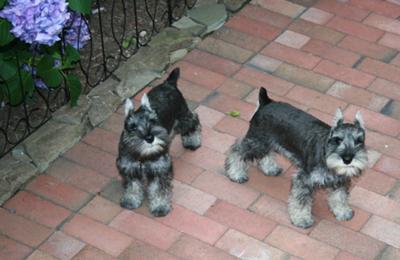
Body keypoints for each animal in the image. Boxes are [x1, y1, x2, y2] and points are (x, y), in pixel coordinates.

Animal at [117, 68, 202, 216]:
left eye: (153, 121)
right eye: (132, 127)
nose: (149, 138)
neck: (142, 156)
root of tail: (168, 83)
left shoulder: (159, 168)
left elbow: (158, 190)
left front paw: (160, 207)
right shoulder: (129, 168)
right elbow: (132, 187)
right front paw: (130, 201)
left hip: (182, 116)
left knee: (193, 121)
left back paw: (193, 141)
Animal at [223, 87, 368, 228]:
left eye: (359, 141)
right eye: (337, 140)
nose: (348, 159)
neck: (325, 152)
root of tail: (266, 102)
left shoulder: (340, 181)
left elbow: (340, 197)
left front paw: (343, 212)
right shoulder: (303, 180)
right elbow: (300, 202)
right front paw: (302, 219)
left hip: (267, 143)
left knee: (266, 154)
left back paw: (270, 168)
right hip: (257, 142)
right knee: (237, 150)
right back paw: (235, 173)